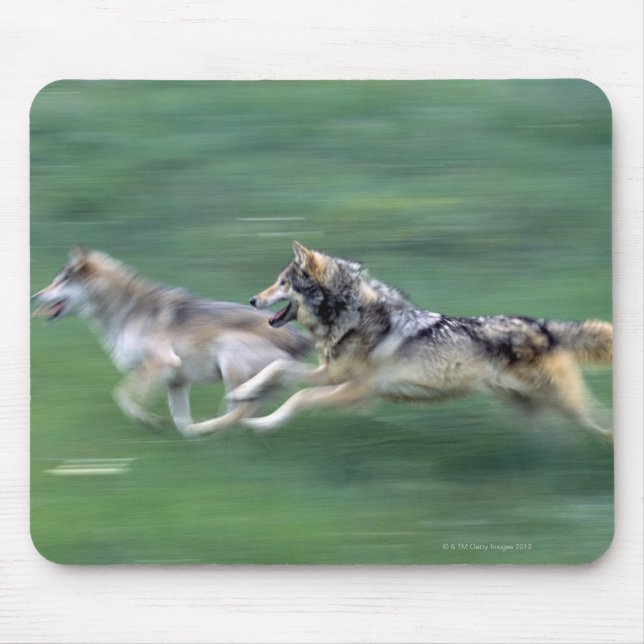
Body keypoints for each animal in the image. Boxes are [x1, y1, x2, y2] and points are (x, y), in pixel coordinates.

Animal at [32, 247, 311, 438]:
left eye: (61, 281)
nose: (34, 296)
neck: (126, 310)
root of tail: (302, 339)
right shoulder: (176, 380)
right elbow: (180, 420)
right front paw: (186, 437)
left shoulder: (161, 363)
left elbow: (122, 395)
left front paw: (146, 420)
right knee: (239, 411)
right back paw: (213, 433)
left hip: (231, 357)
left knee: (243, 410)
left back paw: (212, 429)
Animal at [229, 241, 613, 441]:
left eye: (282, 283)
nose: (251, 299)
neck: (350, 317)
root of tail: (546, 328)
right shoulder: (333, 375)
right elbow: (279, 368)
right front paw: (242, 393)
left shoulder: (356, 392)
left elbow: (300, 398)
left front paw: (263, 423)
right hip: (531, 408)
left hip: (567, 405)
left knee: (603, 423)